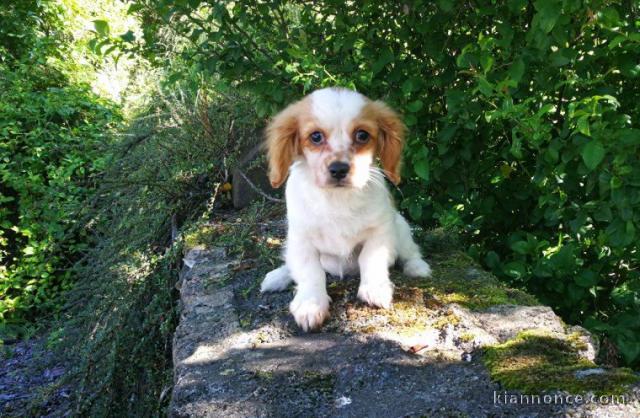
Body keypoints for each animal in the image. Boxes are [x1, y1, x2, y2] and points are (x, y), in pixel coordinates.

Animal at [258, 87, 430, 330]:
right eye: (316, 136)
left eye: (362, 135)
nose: (339, 169)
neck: (337, 199)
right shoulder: (301, 238)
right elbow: (310, 271)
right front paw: (310, 304)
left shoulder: (380, 231)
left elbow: (370, 258)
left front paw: (375, 288)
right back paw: (278, 277)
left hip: (401, 226)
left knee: (410, 252)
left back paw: (417, 267)